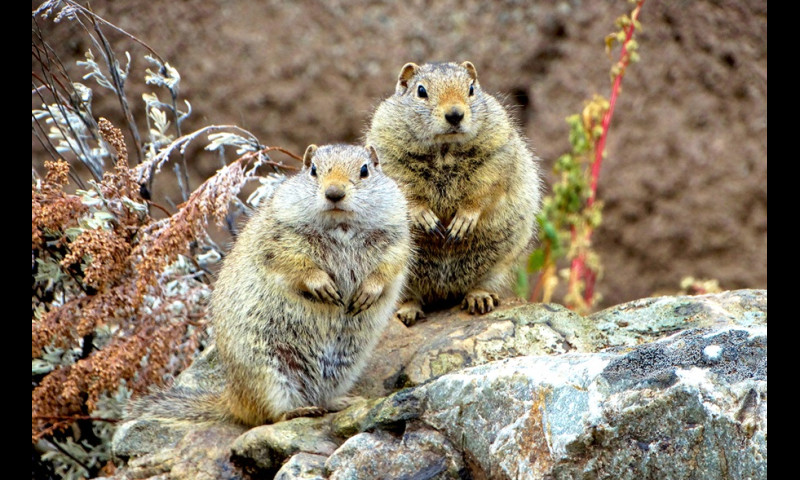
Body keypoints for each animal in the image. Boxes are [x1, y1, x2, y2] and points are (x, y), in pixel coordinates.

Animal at [128, 144, 411, 426]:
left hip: (344, 369)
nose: (334, 193)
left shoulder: (397, 235)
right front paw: (323, 286)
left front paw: (368, 292)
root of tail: (231, 398)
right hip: (267, 373)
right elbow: (295, 262)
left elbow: (390, 265)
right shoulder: (279, 236)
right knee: (267, 416)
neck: (341, 225)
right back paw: (299, 411)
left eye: (365, 170)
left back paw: (341, 401)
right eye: (313, 170)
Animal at [365, 61, 542, 325]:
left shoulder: (495, 156)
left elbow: (482, 193)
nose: (455, 114)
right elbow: (408, 194)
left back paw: (479, 298)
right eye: (421, 91)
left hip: (501, 264)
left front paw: (462, 223)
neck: (445, 149)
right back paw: (407, 311)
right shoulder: (390, 158)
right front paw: (426, 219)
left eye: (471, 89)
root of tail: (442, 293)